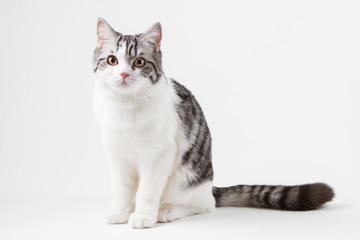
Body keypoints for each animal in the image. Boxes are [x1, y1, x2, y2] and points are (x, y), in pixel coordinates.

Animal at [92, 18, 334, 229]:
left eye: (139, 62)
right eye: (112, 60)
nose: (124, 74)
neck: (125, 108)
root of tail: (210, 187)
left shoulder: (158, 155)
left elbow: (147, 191)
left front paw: (142, 216)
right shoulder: (117, 157)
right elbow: (122, 190)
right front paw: (120, 213)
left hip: (187, 179)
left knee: (204, 205)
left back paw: (168, 210)